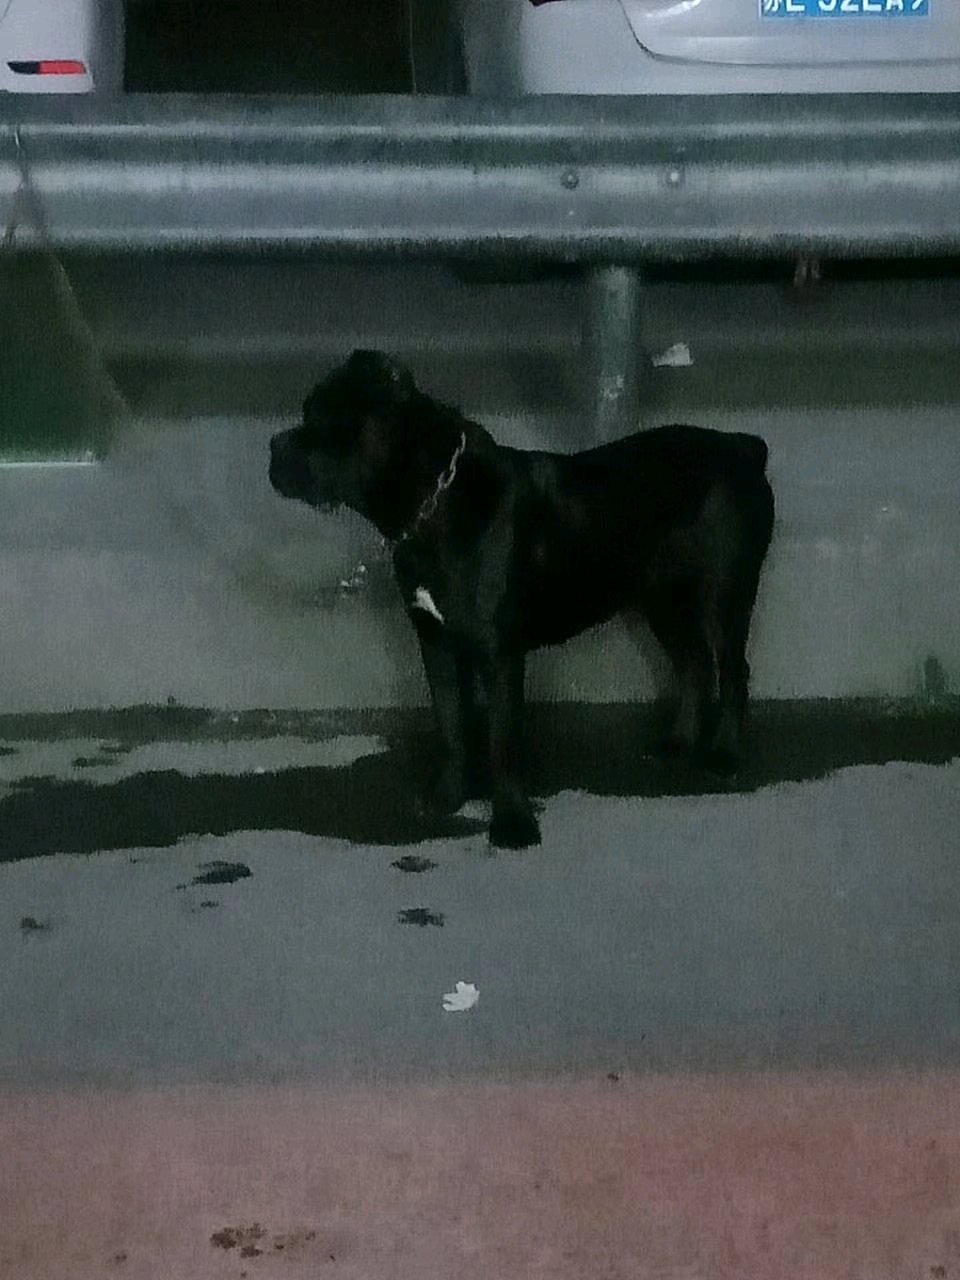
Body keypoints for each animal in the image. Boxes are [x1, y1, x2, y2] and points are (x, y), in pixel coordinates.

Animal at [269, 350, 775, 850]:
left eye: (320, 416)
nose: (273, 445)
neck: (436, 504)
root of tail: (744, 448)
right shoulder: (438, 644)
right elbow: (451, 725)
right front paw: (448, 795)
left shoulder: (500, 655)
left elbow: (503, 740)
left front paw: (513, 823)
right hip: (663, 600)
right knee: (693, 663)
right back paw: (677, 743)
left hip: (725, 597)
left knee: (732, 670)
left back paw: (724, 754)